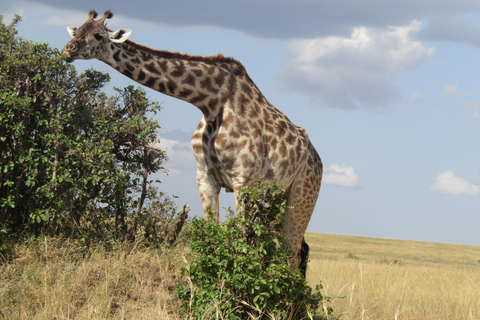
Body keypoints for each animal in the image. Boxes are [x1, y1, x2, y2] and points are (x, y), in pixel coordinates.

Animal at [61, 10, 322, 276]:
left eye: (98, 35)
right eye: (76, 30)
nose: (67, 50)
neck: (211, 102)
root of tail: (317, 158)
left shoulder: (244, 180)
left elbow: (242, 243)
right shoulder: (205, 177)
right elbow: (212, 236)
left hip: (302, 195)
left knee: (291, 253)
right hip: (274, 201)